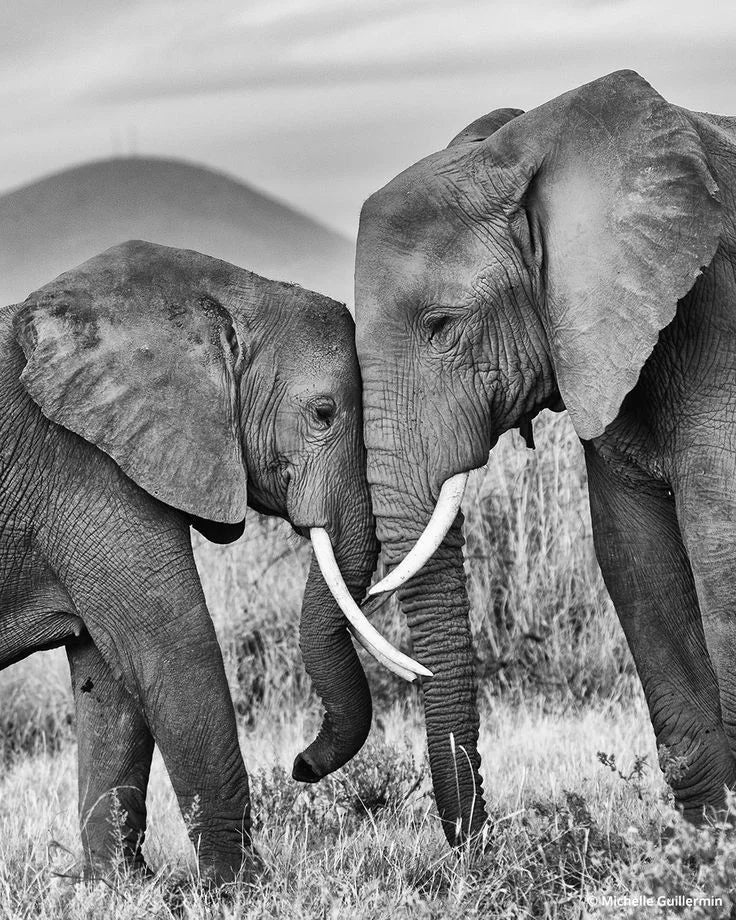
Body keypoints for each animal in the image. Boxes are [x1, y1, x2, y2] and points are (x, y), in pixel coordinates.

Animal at [0, 239, 426, 883]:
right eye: (323, 413)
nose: (301, 766)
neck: (224, 293)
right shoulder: (86, 466)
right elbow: (172, 649)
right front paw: (239, 886)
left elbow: (108, 677)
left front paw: (118, 887)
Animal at [354, 70, 736, 843]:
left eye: (443, 326)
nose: (476, 846)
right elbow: (635, 561)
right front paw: (707, 844)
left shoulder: (720, 310)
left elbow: (721, 546)